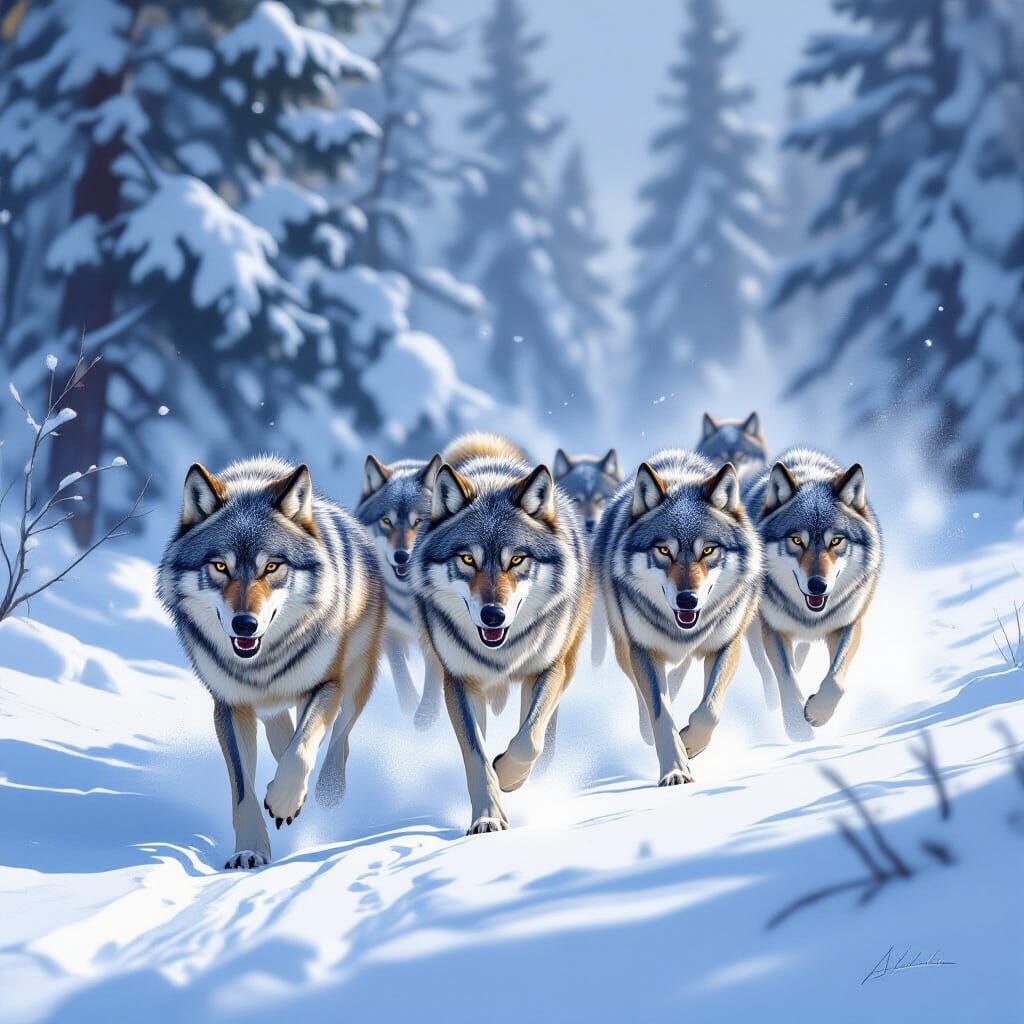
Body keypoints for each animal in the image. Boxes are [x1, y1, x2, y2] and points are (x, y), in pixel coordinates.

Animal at [158, 455, 384, 869]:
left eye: (272, 567)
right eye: (220, 567)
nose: (244, 624)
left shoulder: (325, 685)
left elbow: (300, 751)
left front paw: (284, 801)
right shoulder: (230, 705)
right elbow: (243, 791)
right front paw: (248, 850)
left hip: (356, 678)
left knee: (338, 738)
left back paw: (326, 790)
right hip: (267, 706)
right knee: (283, 733)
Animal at [356, 453, 444, 729]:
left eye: (418, 521)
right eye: (387, 521)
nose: (402, 556)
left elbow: (434, 670)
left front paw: (427, 715)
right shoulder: (388, 628)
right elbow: (398, 668)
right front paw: (409, 703)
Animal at [411, 432, 592, 834]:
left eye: (517, 560)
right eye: (467, 559)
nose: (493, 616)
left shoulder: (549, 668)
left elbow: (528, 741)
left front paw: (508, 775)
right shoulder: (460, 682)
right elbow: (477, 761)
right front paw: (488, 818)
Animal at [593, 450, 763, 785]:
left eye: (708, 550)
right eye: (664, 551)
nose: (688, 599)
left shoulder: (726, 645)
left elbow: (709, 711)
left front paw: (691, 744)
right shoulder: (643, 650)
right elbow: (661, 715)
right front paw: (675, 770)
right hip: (623, 645)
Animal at [744, 447, 881, 740]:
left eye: (836, 541)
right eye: (797, 540)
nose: (818, 585)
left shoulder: (848, 624)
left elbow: (836, 681)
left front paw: (818, 713)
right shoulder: (774, 629)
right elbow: (786, 678)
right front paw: (798, 729)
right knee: (765, 670)